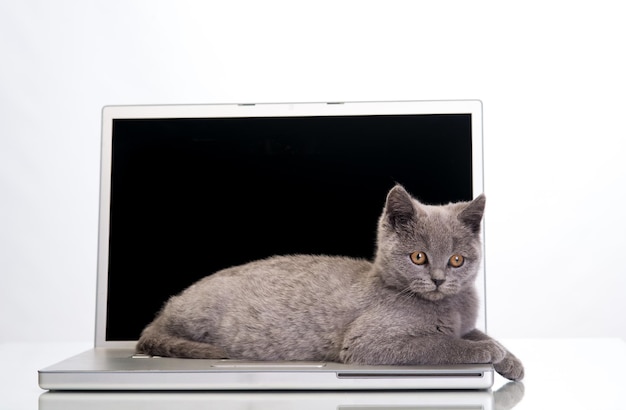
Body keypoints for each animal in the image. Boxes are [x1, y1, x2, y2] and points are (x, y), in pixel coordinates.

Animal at [136, 186, 520, 382]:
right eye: (418, 257)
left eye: (457, 260)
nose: (438, 280)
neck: (450, 308)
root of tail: (164, 311)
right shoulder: (367, 344)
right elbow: (439, 344)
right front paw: (489, 352)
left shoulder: (464, 322)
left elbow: (477, 333)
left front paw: (510, 359)